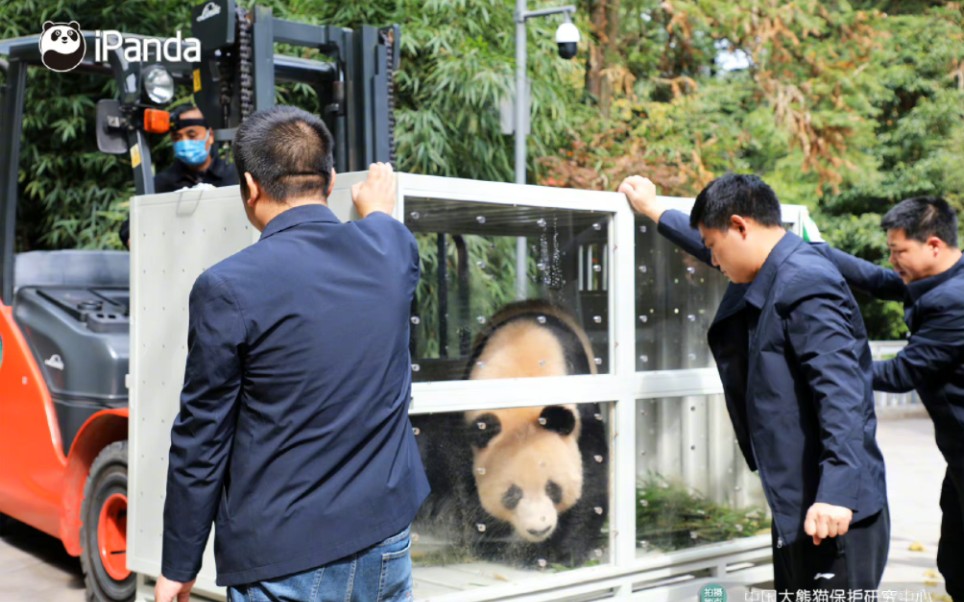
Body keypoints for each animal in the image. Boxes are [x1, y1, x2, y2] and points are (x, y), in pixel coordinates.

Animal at [410, 300, 608, 568]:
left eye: (553, 489)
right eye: (512, 495)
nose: (539, 529)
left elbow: (591, 471)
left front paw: (563, 551)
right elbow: (466, 481)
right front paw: (500, 544)